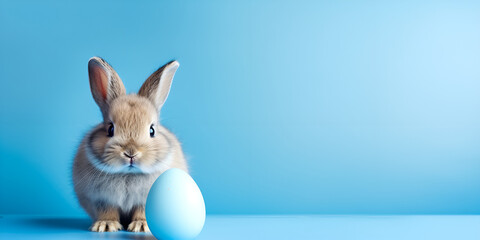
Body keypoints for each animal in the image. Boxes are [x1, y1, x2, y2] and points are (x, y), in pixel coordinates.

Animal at [73, 56, 188, 232]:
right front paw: (105, 225)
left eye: (152, 130)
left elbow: (141, 211)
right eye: (110, 129)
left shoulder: (144, 199)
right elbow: (108, 211)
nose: (131, 153)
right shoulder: (102, 199)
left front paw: (141, 226)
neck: (128, 174)